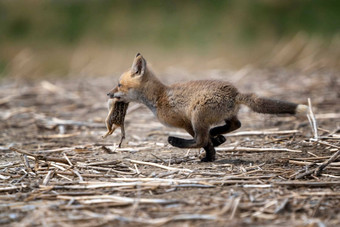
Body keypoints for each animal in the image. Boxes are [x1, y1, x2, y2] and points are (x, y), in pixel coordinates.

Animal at [107, 53, 308, 161]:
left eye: (119, 85)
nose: (108, 94)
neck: (159, 97)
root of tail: (235, 93)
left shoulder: (186, 122)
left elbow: (204, 143)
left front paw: (210, 156)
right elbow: (210, 142)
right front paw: (214, 149)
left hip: (198, 115)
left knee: (201, 139)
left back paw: (178, 142)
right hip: (224, 115)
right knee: (236, 125)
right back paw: (217, 134)